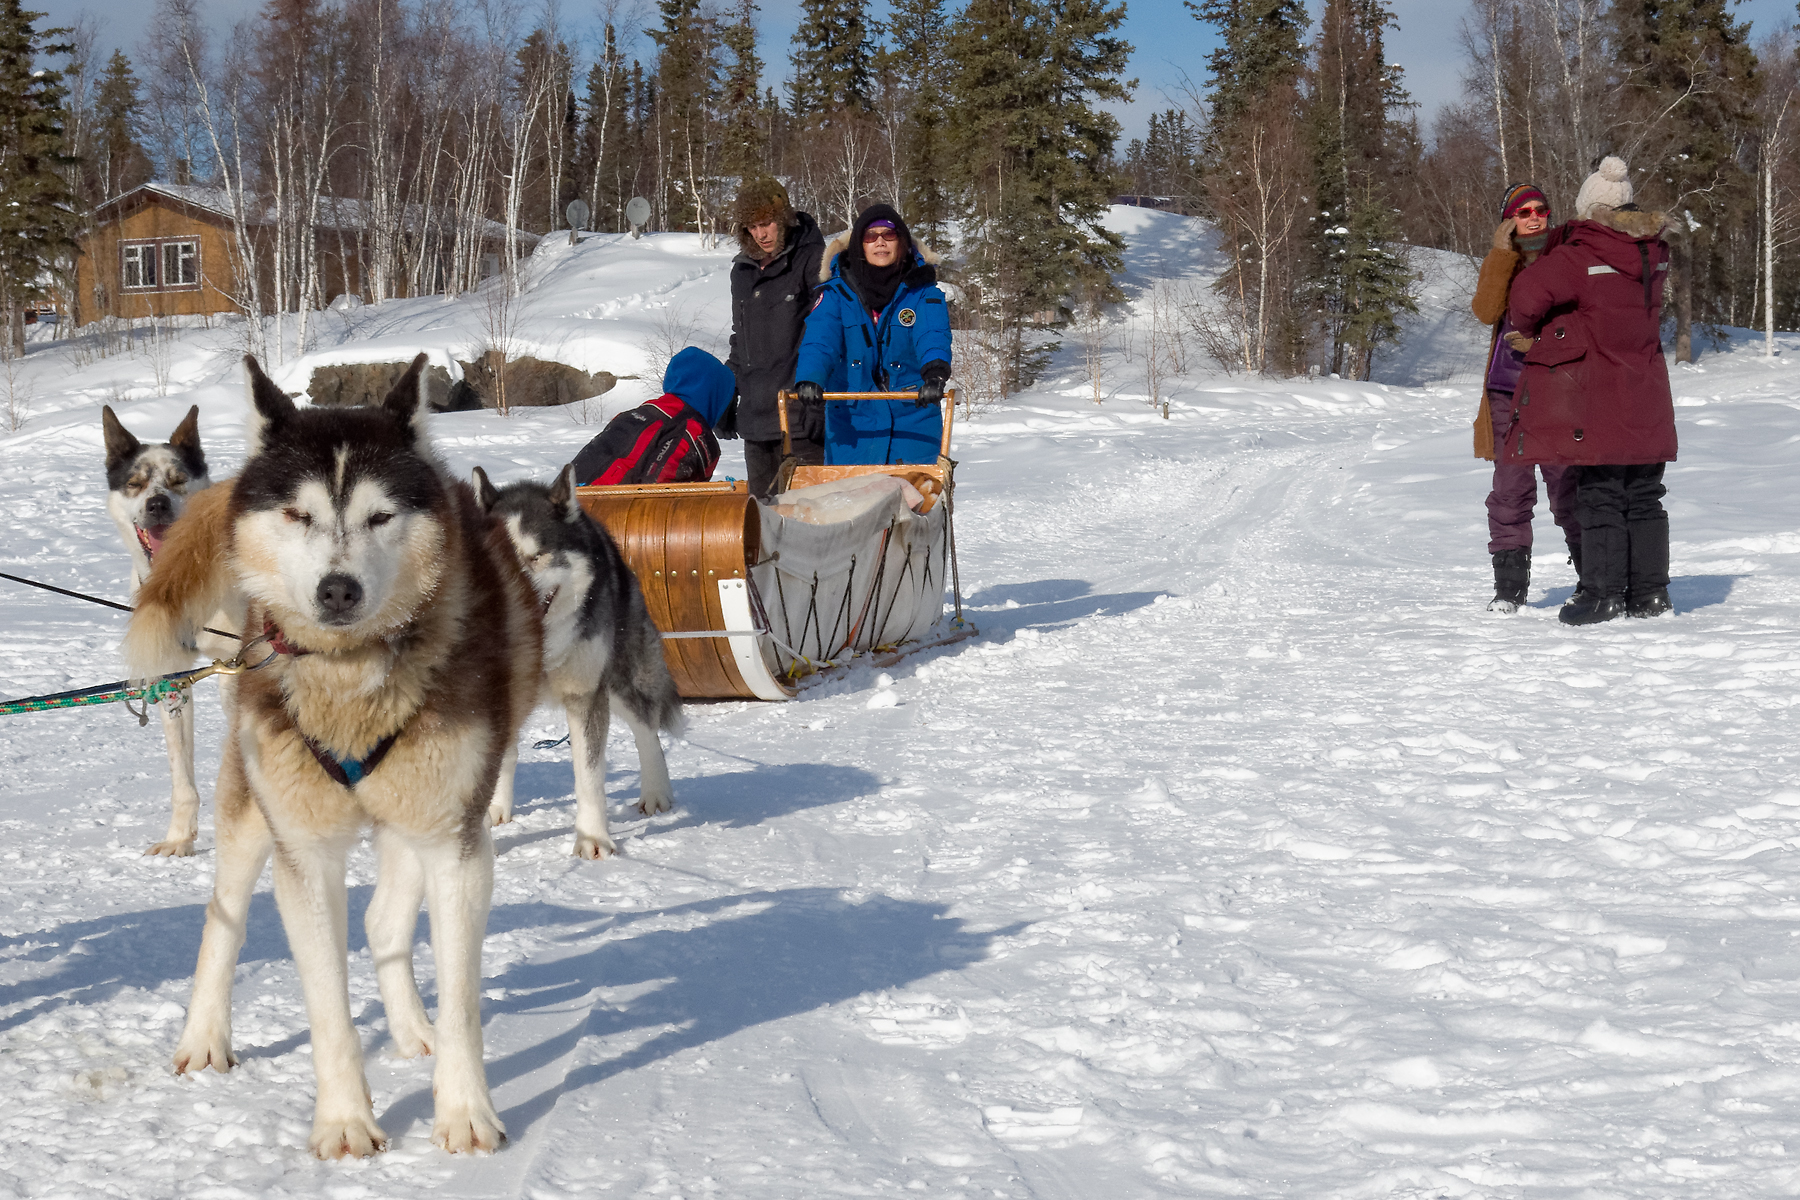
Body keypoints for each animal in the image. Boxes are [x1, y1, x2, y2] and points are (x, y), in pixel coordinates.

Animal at [102, 402, 241, 852]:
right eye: (135, 483)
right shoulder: (172, 677)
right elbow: (182, 776)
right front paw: (180, 838)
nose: (158, 503)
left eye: (178, 481)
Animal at [126, 352, 536, 1158]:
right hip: (252, 811)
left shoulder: (456, 842)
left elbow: (462, 999)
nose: (337, 589)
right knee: (224, 917)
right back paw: (204, 1036)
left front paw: (464, 1111)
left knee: (384, 923)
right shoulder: (304, 852)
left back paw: (414, 1030)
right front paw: (346, 1120)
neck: (350, 681)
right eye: (298, 514)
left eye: (381, 516)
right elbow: (328, 1011)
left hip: (411, 814)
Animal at [471, 460, 680, 852]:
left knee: (647, 730)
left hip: (621, 679)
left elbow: (589, 774)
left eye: (536, 557)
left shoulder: (586, 695)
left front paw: (593, 838)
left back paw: (656, 792)